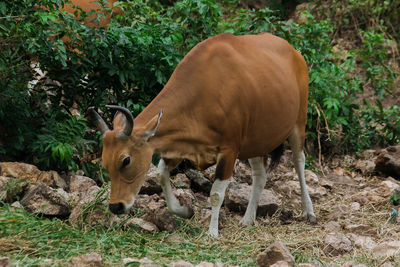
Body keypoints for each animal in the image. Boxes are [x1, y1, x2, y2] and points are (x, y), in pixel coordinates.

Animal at [90, 33, 316, 237]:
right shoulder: (182, 144)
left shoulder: (229, 149)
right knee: (260, 175)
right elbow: (162, 174)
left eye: (126, 160)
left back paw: (309, 211)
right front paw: (184, 211)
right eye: (105, 163)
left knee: (299, 161)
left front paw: (212, 232)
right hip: (255, 140)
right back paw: (248, 219)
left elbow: (216, 193)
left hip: (298, 122)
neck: (203, 91)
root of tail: (294, 52)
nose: (116, 207)